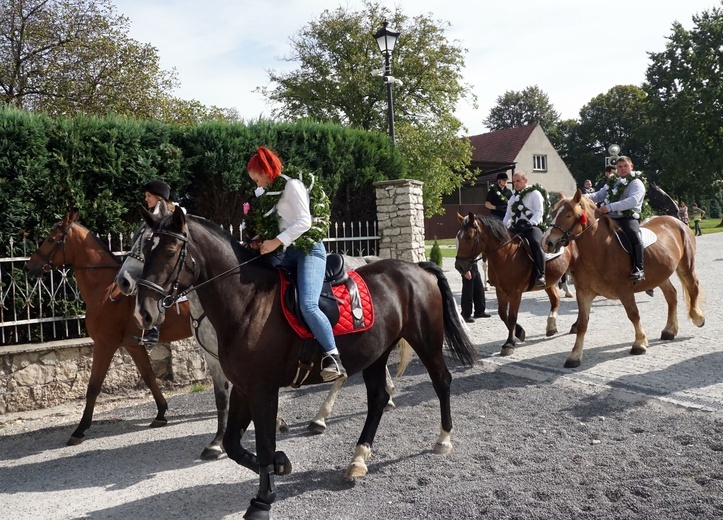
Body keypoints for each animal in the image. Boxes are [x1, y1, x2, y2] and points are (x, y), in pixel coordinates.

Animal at [136, 208, 478, 520]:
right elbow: (234, 444)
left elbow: (262, 444)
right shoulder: (244, 388)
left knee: (441, 381)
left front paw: (262, 500)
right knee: (379, 398)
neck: (248, 303)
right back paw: (358, 458)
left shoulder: (262, 388)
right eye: (144, 250)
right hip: (376, 354)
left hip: (426, 342)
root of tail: (416, 269)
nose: (144, 312)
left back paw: (443, 439)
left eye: (169, 251)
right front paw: (280, 463)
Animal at [452, 210, 576, 354]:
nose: (459, 266)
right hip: (549, 282)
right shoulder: (500, 290)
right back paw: (551, 327)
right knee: (555, 300)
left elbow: (512, 316)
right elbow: (502, 314)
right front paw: (519, 332)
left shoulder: (515, 292)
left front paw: (509, 343)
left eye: (470, 237)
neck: (506, 254)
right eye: (458, 237)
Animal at [544, 190, 708, 366]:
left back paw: (698, 318)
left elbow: (633, 314)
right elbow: (582, 324)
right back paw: (669, 330)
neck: (600, 249)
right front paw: (574, 356)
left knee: (693, 287)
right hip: (660, 274)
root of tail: (677, 221)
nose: (547, 242)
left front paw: (640, 343)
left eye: (568, 215)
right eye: (553, 213)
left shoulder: (625, 290)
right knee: (671, 295)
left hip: (686, 265)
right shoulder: (584, 293)